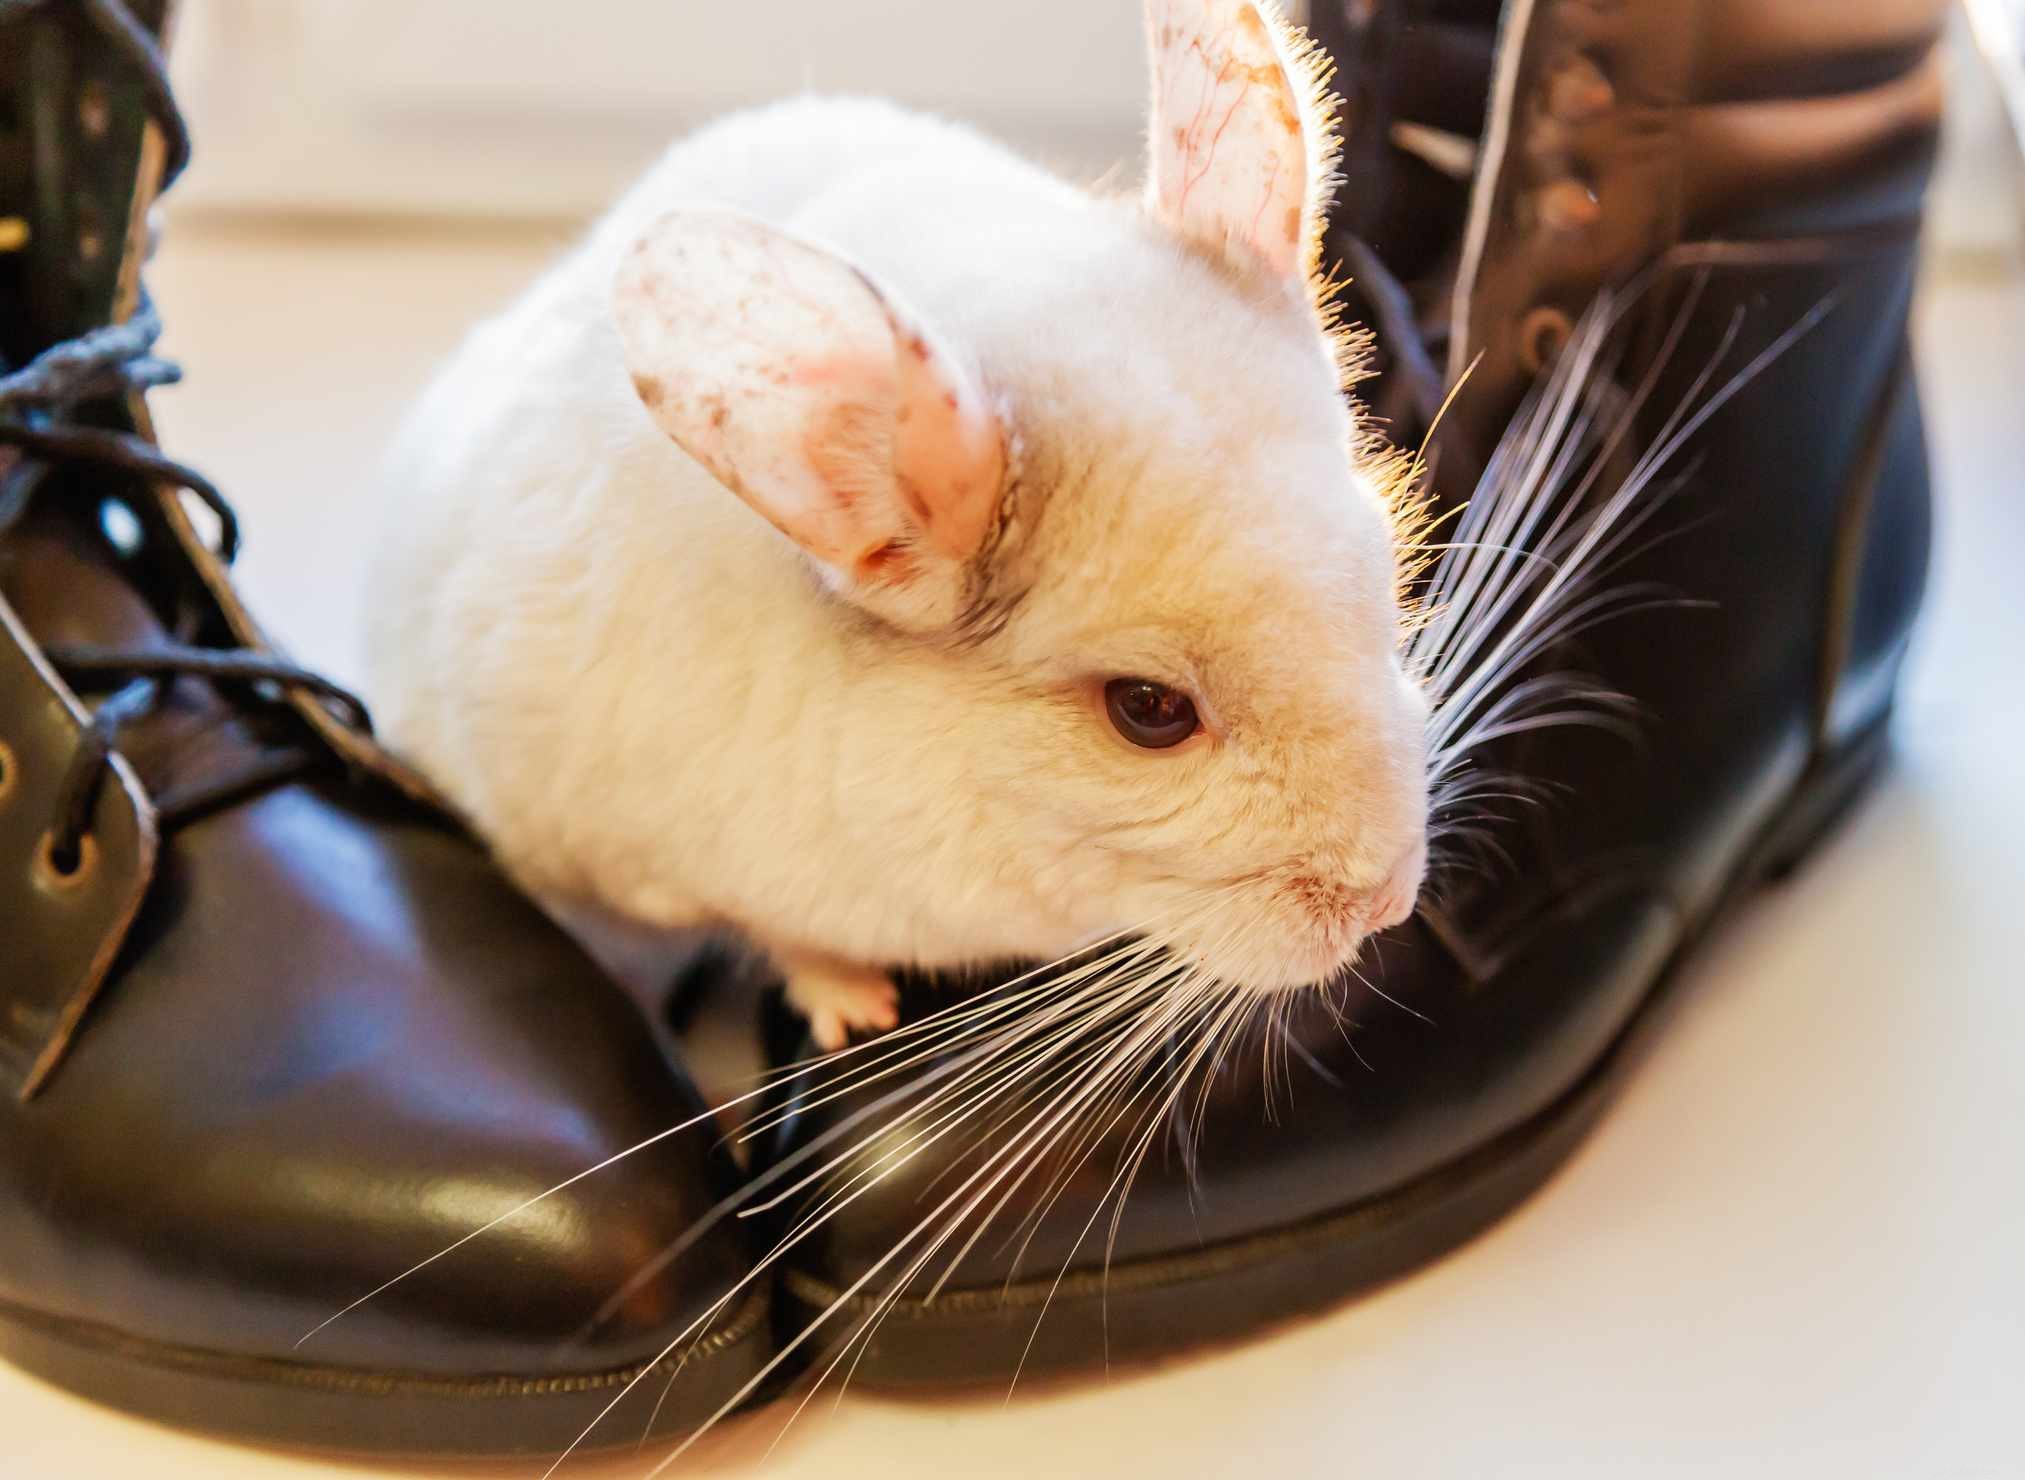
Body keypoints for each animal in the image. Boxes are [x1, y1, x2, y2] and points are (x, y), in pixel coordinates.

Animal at [362, 0, 1431, 1052]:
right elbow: (785, 939)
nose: (1388, 906)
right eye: (1148, 710)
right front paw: (854, 1012)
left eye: (1382, 561)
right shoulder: (690, 865)